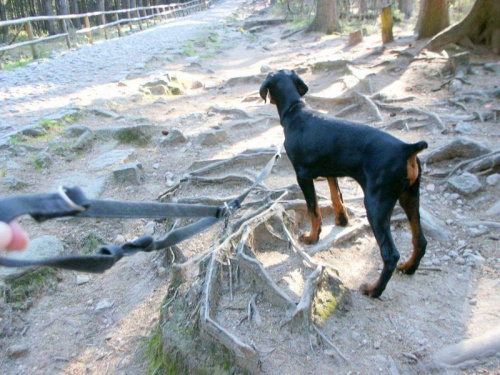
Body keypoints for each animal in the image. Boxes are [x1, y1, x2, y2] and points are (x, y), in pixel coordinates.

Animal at [260, 70, 428, 300]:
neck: (295, 111)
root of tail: (406, 148)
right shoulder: (332, 171)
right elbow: (336, 196)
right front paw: (342, 220)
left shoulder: (302, 176)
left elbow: (314, 210)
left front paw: (312, 237)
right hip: (410, 196)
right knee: (420, 241)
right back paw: (409, 268)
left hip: (376, 205)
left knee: (390, 255)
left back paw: (373, 290)